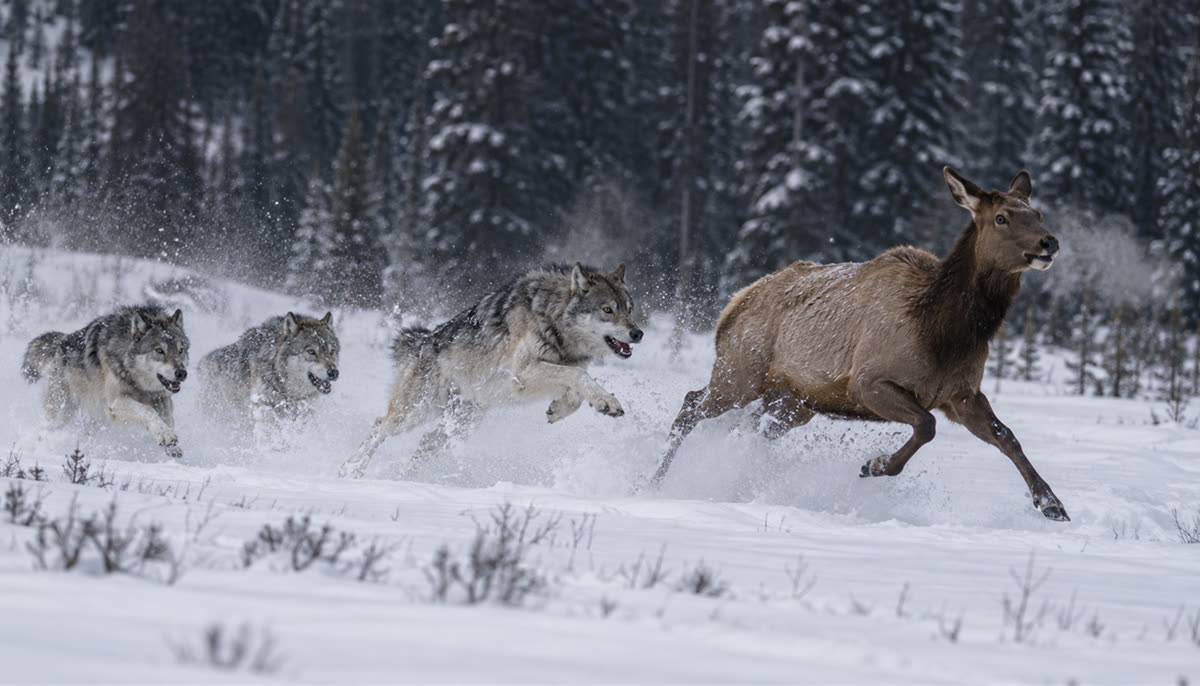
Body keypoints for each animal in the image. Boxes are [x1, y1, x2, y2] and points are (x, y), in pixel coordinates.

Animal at [21, 305, 190, 457]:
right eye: (159, 350)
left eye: (180, 350)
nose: (182, 373)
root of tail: (61, 341)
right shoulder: (115, 403)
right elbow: (148, 410)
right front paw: (165, 435)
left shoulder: (161, 398)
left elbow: (168, 419)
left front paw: (172, 444)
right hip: (61, 413)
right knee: (45, 431)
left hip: (95, 418)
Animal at [338, 263, 643, 478]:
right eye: (607, 310)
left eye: (629, 309)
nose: (638, 333)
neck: (552, 318)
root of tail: (422, 341)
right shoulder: (523, 374)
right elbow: (578, 377)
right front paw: (607, 402)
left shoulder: (561, 368)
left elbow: (577, 389)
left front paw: (560, 409)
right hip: (415, 411)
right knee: (379, 426)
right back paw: (351, 470)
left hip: (462, 423)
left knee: (423, 444)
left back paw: (406, 479)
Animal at [652, 167, 1069, 521]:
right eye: (1001, 218)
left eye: (1037, 213)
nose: (1049, 242)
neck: (944, 334)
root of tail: (734, 304)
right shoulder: (867, 381)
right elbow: (926, 424)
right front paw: (875, 464)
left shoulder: (963, 393)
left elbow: (1006, 436)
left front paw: (1051, 503)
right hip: (739, 372)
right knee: (691, 405)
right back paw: (656, 479)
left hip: (792, 402)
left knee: (749, 430)